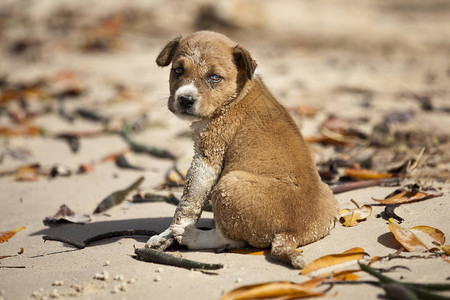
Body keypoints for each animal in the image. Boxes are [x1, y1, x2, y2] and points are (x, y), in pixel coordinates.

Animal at [147, 32, 338, 268]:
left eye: (214, 77)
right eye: (178, 70)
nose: (185, 99)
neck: (236, 95)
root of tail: (292, 234)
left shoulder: (207, 157)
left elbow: (187, 204)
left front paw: (166, 236)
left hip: (228, 185)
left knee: (231, 239)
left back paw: (191, 235)